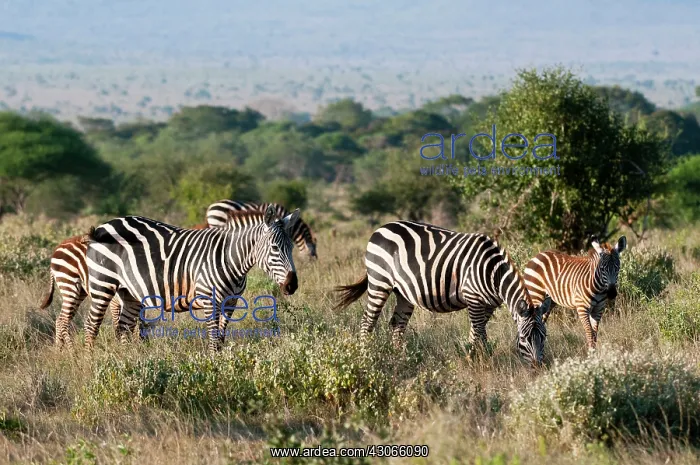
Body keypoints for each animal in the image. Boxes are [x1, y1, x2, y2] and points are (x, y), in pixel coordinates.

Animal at [84, 205, 300, 352]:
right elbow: (213, 338)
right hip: (102, 284)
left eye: (291, 247)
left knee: (123, 328)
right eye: (274, 248)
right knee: (91, 325)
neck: (230, 258)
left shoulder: (231, 302)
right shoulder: (210, 299)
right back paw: (90, 361)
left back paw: (128, 360)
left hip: (129, 291)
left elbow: (221, 338)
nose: (292, 286)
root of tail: (104, 225)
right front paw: (214, 369)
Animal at [333, 221, 551, 366]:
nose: (537, 367)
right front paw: (479, 361)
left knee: (397, 325)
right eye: (523, 338)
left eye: (544, 337)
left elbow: (476, 332)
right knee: (367, 322)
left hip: (403, 292)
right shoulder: (473, 298)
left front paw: (473, 357)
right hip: (379, 281)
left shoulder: (489, 304)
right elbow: (479, 333)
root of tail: (381, 228)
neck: (493, 273)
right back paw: (366, 357)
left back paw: (399, 358)